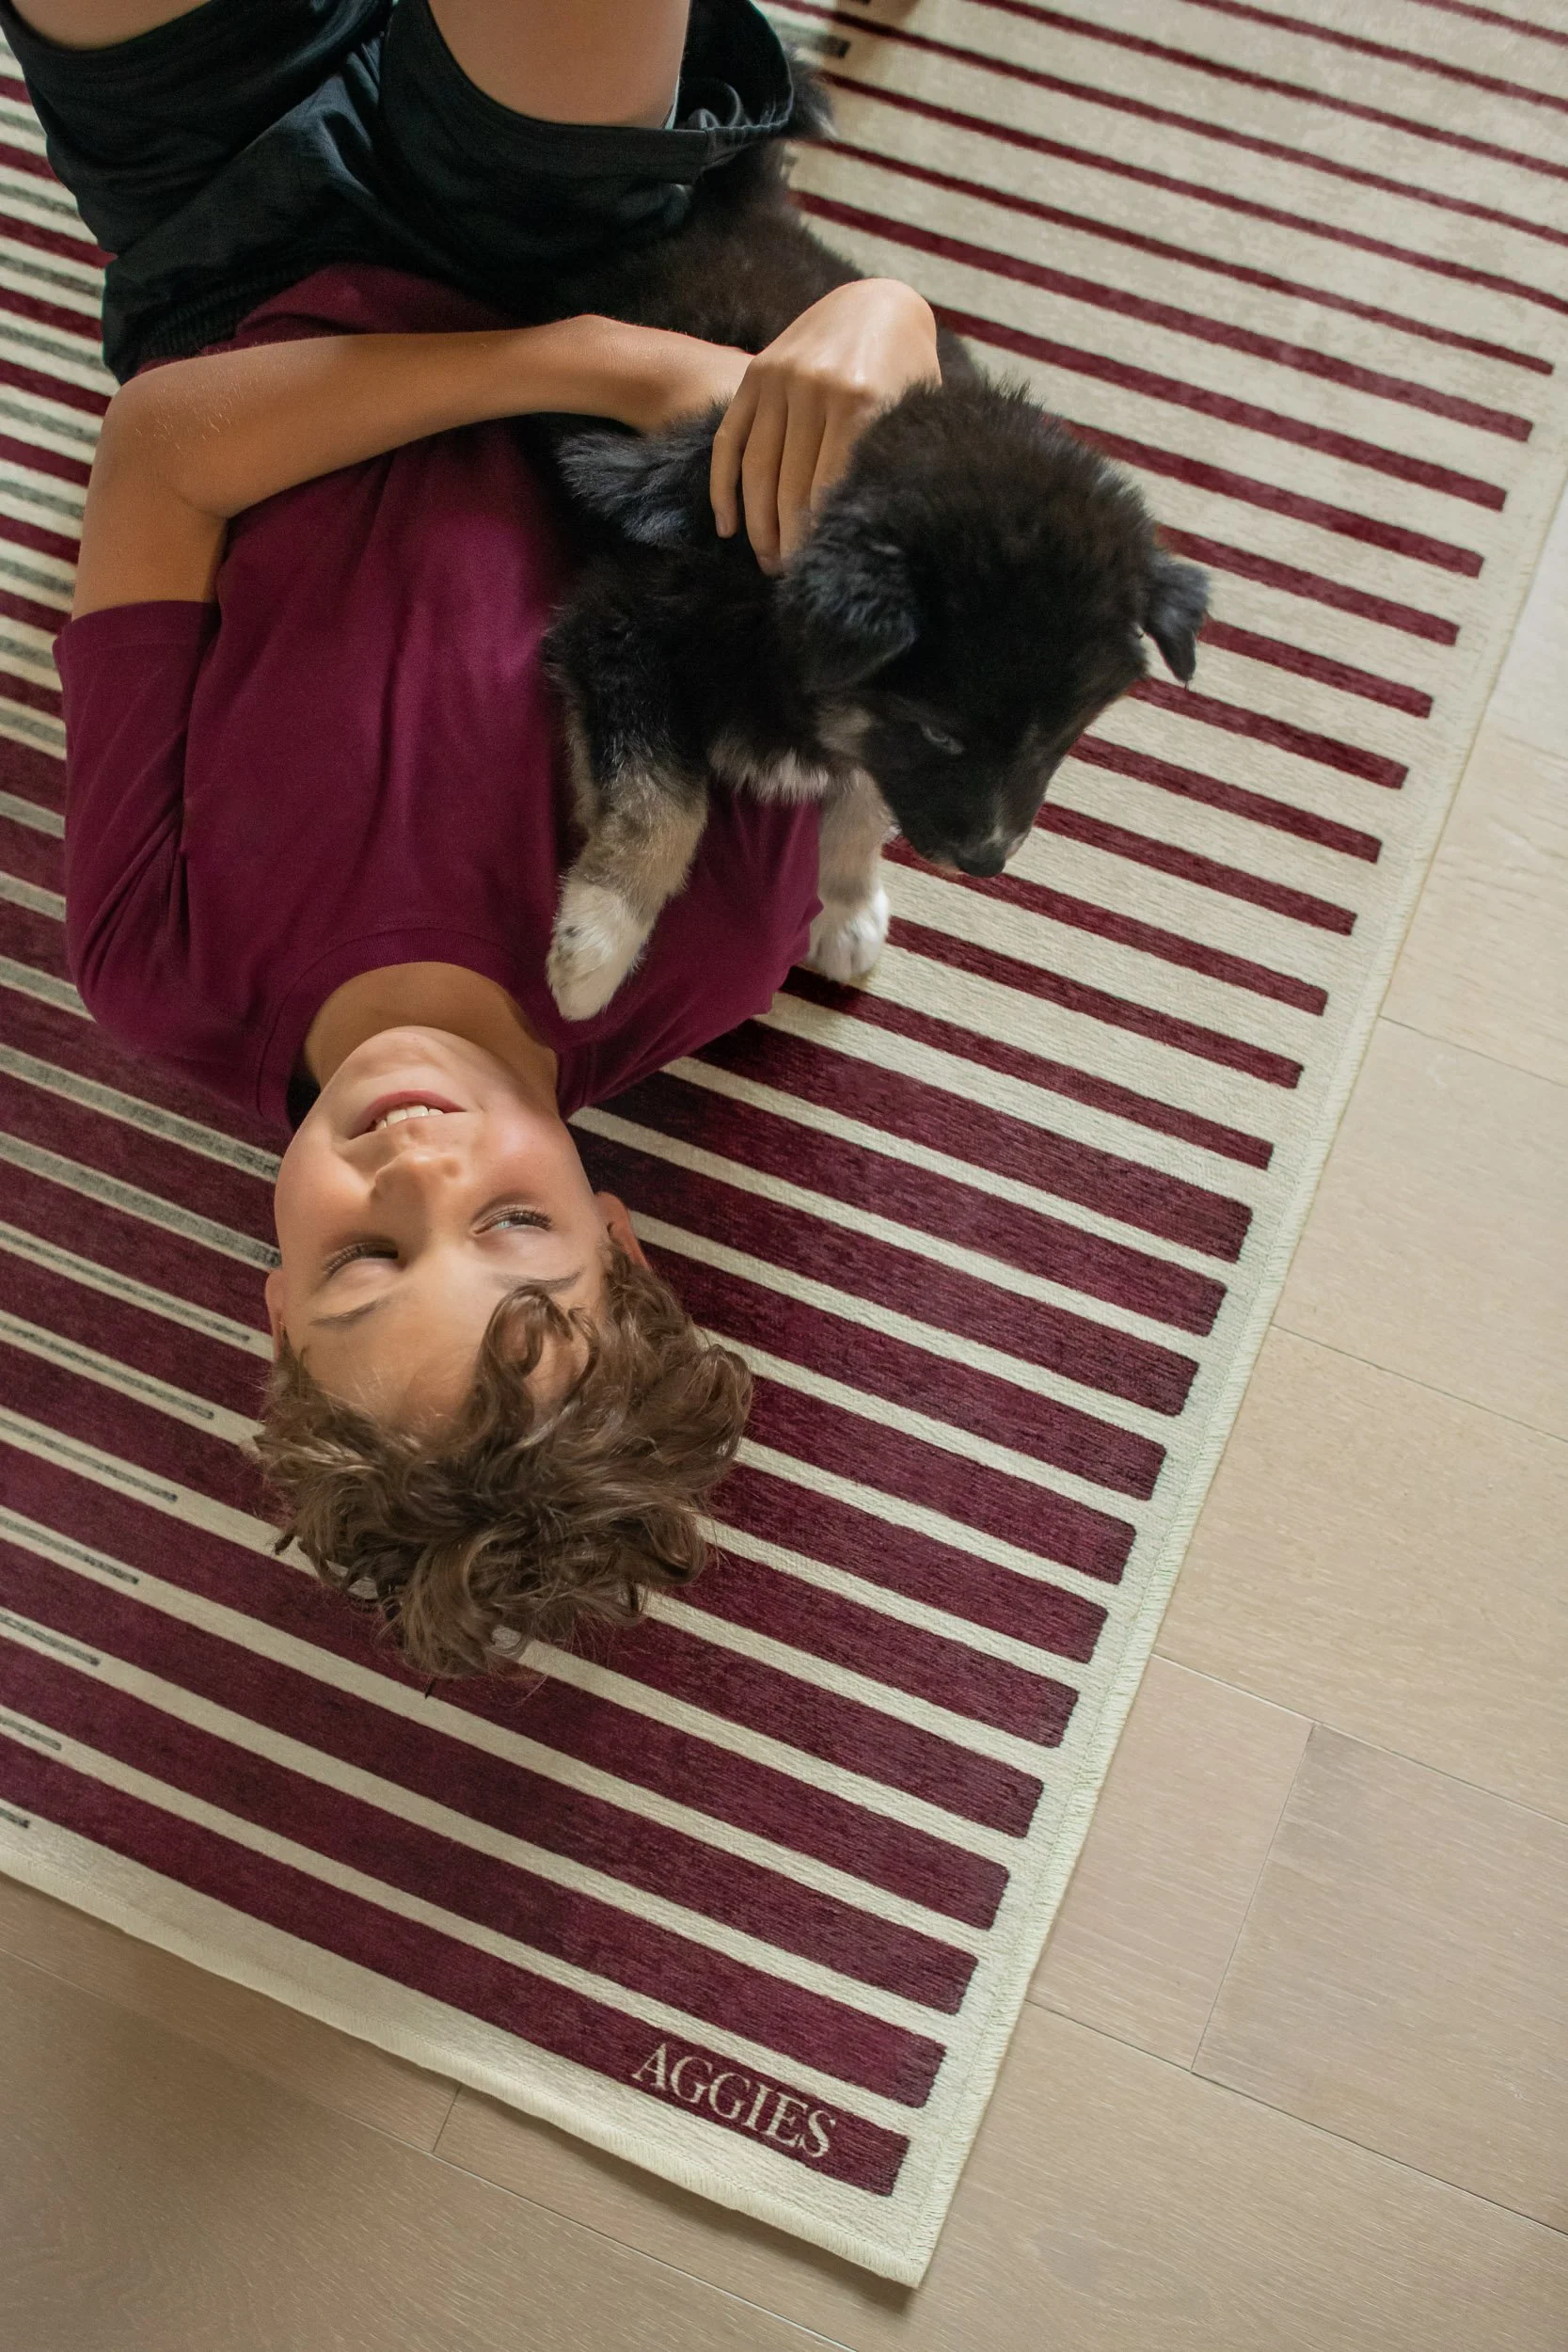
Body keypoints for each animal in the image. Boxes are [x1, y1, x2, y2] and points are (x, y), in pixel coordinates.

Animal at [529, 63, 1210, 1021]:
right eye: (942, 736)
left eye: (1056, 741)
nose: (986, 861)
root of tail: (749, 210)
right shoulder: (621, 623)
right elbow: (665, 797)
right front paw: (594, 947)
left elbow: (859, 793)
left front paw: (847, 906)